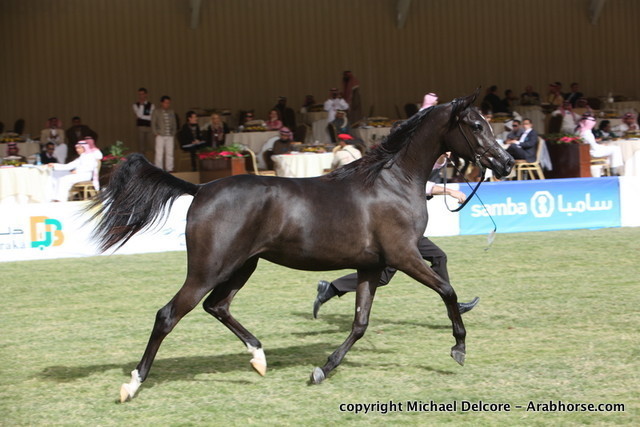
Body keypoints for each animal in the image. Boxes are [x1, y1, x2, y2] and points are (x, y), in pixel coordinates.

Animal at [87, 91, 514, 402]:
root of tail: (201, 188)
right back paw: (132, 385)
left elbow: (360, 323)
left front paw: (323, 368)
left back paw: (259, 358)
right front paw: (459, 348)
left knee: (217, 306)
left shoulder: (371, 266)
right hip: (209, 268)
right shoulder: (403, 256)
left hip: (242, 265)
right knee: (168, 314)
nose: (506, 163)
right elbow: (447, 290)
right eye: (476, 124)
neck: (391, 183)